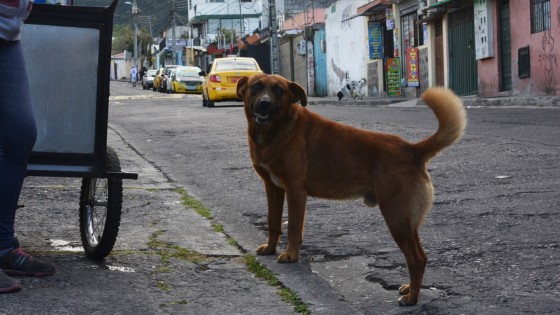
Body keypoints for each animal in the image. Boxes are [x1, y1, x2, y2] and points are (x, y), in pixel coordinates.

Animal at [236, 73, 468, 306]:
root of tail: (412, 150)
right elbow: (273, 222)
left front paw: (291, 255)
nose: (264, 103)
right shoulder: (273, 187)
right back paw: (410, 289)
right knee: (422, 256)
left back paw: (412, 298)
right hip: (407, 221)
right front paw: (270, 248)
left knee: (416, 259)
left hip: (396, 217)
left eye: (279, 90)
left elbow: (293, 227)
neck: (278, 129)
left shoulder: (295, 191)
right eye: (256, 86)